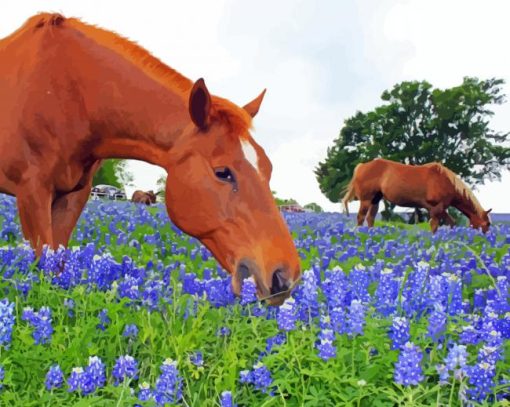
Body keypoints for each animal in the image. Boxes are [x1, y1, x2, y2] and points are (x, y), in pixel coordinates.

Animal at [0, 12, 300, 304]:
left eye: (268, 167)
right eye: (222, 172)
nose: (285, 276)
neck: (68, 93)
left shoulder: (74, 194)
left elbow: (58, 264)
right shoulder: (33, 191)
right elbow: (43, 262)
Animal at [340, 160, 492, 236]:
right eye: (488, 224)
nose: (486, 238)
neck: (446, 182)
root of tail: (361, 166)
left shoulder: (440, 208)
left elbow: (451, 222)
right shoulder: (436, 207)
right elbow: (435, 225)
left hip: (375, 200)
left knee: (370, 218)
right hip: (366, 200)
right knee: (360, 218)